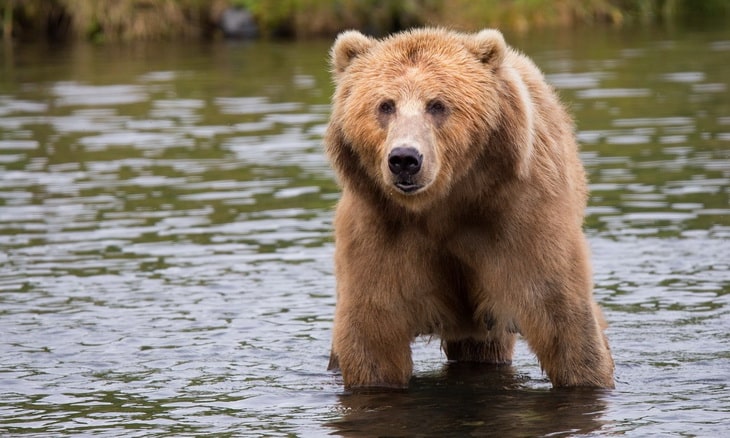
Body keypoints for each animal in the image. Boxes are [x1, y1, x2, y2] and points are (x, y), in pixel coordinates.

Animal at [322, 27, 612, 388]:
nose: (404, 159)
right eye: (385, 105)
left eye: (437, 105)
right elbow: (373, 332)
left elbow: (561, 315)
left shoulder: (518, 219)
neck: (443, 204)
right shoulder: (380, 230)